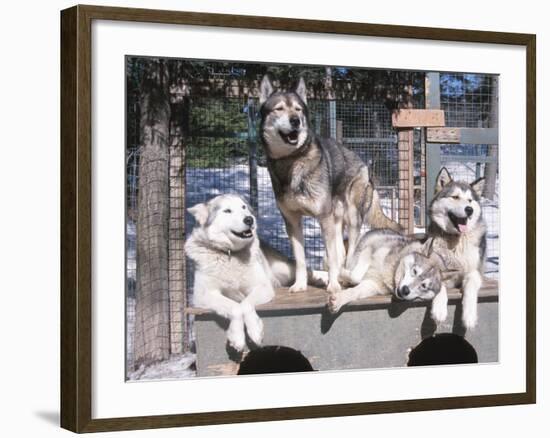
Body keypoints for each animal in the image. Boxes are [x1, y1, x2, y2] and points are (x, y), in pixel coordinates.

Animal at [188, 193, 330, 350]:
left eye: (243, 207)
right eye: (227, 211)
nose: (249, 219)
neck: (230, 254)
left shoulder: (262, 287)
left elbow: (245, 304)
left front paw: (255, 331)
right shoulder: (203, 296)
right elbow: (236, 307)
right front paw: (237, 337)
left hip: (283, 269)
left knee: (303, 271)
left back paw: (323, 278)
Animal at [328, 229, 458, 322]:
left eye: (424, 286)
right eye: (415, 271)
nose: (405, 290)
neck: (392, 271)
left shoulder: (373, 285)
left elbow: (356, 290)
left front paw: (339, 300)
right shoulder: (369, 249)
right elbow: (356, 276)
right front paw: (342, 274)